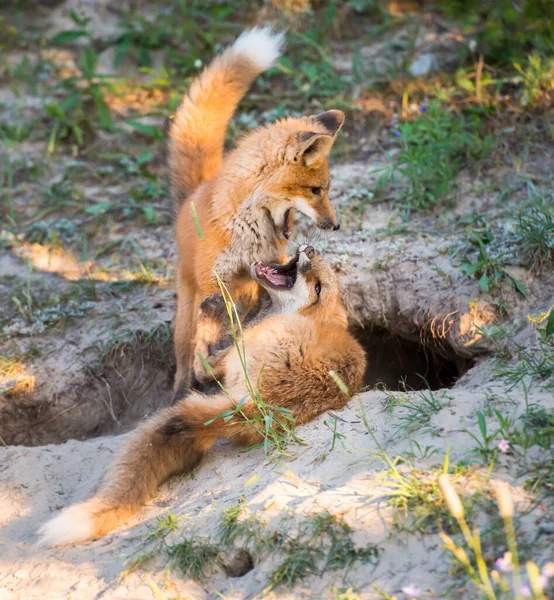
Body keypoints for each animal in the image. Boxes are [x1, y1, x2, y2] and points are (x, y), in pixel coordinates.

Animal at [38, 246, 366, 548]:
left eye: (318, 287)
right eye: (319, 274)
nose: (310, 249)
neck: (305, 316)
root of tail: (261, 406)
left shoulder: (235, 347)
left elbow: (206, 360)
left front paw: (216, 310)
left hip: (239, 354)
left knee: (200, 362)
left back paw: (211, 311)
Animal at [167, 25, 344, 392]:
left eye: (327, 189)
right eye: (315, 190)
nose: (335, 226)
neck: (247, 236)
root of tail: (192, 195)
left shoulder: (265, 271)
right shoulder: (215, 282)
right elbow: (216, 327)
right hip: (187, 306)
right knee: (182, 356)